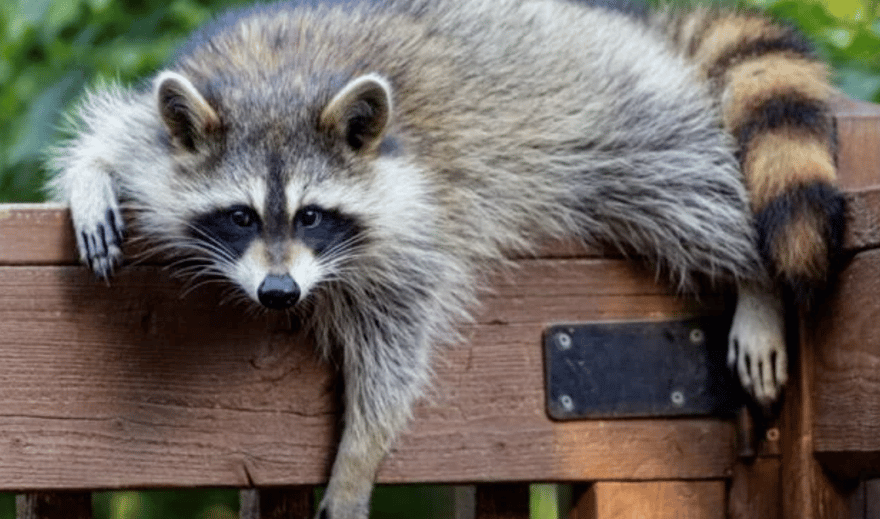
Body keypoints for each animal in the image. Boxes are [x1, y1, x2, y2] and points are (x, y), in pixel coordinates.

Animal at [49, 0, 843, 517]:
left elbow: (397, 343)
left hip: (614, 116)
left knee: (692, 194)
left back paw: (755, 277)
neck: (281, 82)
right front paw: (92, 176)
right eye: (241, 216)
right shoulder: (171, 123)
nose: (278, 292)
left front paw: (359, 452)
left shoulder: (416, 220)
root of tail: (629, 24)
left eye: (311, 215)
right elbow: (117, 133)